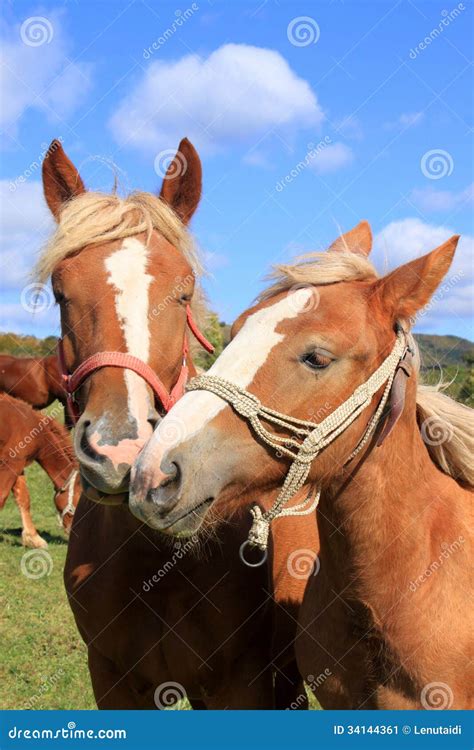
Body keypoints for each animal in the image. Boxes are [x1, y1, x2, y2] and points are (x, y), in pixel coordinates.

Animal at [37, 140, 302, 712]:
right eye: (60, 293)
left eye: (183, 293)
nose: (119, 450)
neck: (153, 558)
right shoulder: (112, 680)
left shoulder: (241, 685)